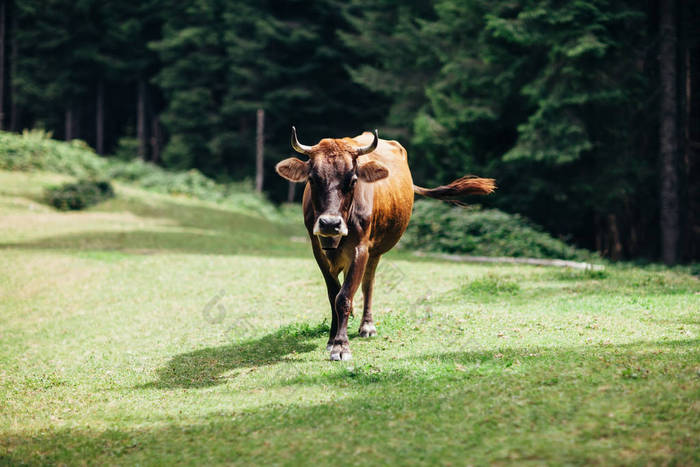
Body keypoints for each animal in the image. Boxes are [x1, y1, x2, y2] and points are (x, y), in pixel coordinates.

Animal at [274, 128, 492, 362]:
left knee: (368, 284)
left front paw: (341, 345)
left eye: (353, 180)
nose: (330, 223)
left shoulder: (360, 248)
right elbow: (334, 294)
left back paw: (366, 325)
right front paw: (333, 339)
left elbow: (344, 296)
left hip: (375, 251)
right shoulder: (318, 251)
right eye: (313, 179)